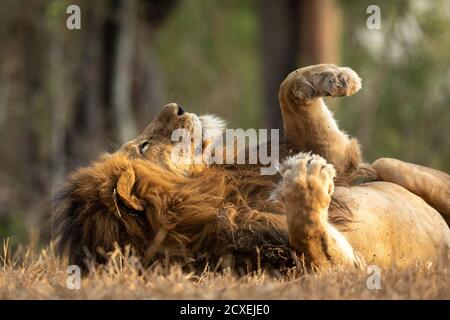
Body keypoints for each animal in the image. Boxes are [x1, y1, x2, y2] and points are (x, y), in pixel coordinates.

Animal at [53, 65, 450, 272]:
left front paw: (333, 78)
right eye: (144, 147)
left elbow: (287, 85)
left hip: (392, 167)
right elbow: (310, 238)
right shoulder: (336, 269)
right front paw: (306, 181)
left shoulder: (334, 159)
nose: (177, 107)